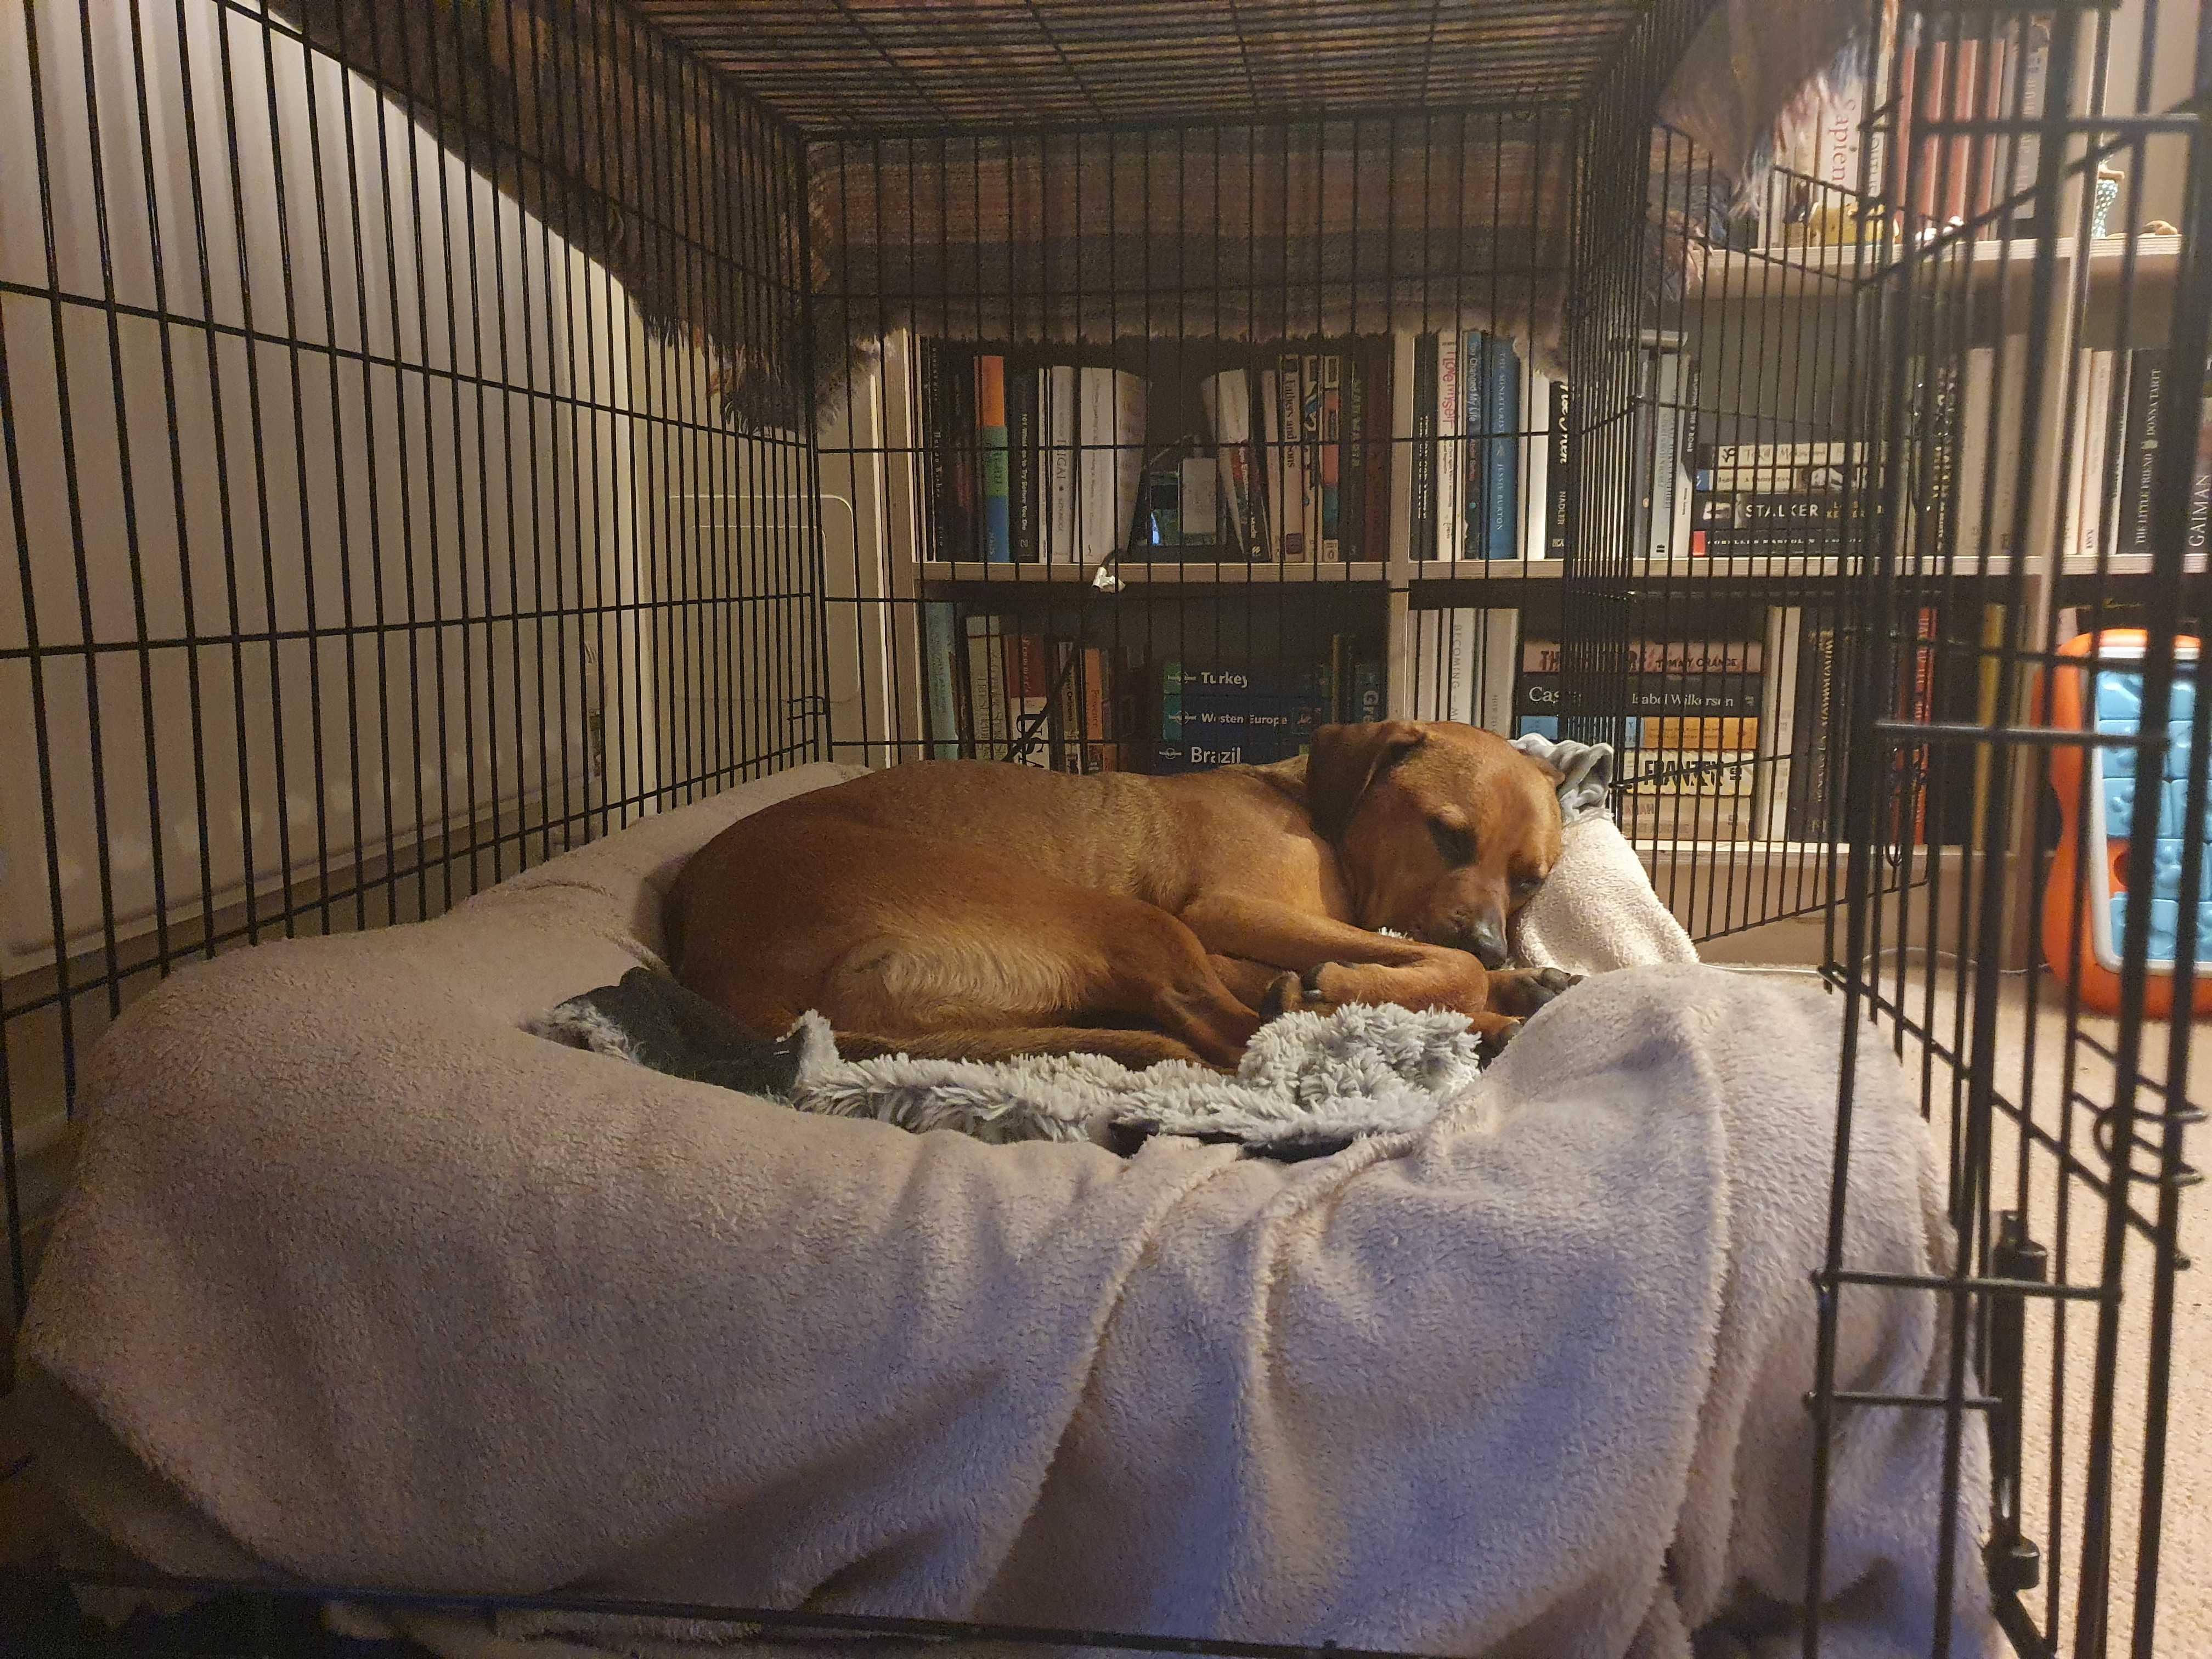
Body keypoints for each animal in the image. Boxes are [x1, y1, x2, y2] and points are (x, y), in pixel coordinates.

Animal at [663, 721, 1583, 1070]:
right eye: (1448, 835)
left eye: (1532, 880)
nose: (1494, 939)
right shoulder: (1225, 914)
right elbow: (1435, 967)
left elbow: (1439, 966)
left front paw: (1521, 982)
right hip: (1119, 918)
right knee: (1238, 1037)